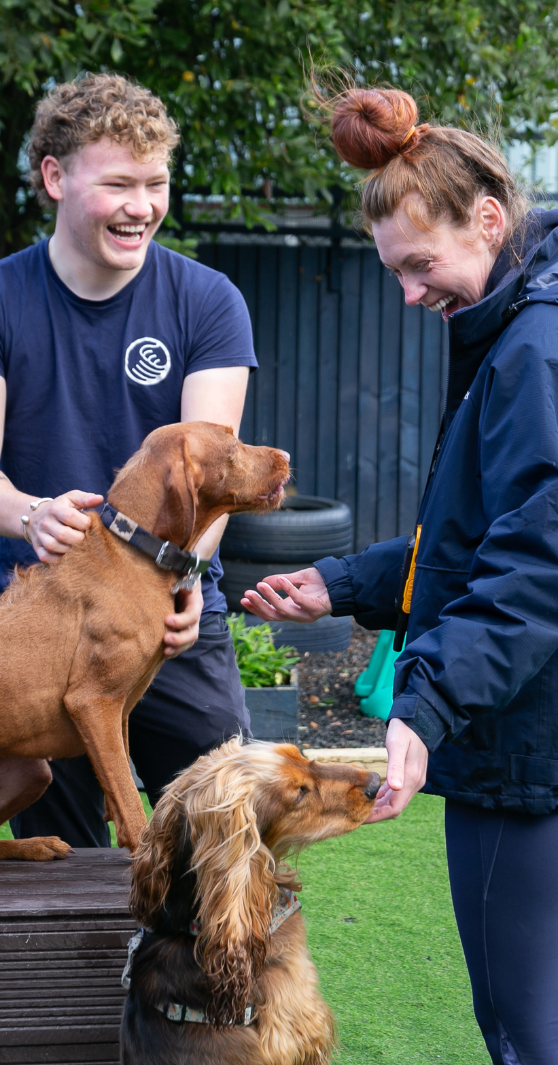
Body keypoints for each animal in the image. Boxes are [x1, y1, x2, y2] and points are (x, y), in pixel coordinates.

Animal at [0, 419, 289, 860]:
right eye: (232, 445)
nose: (287, 456)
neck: (133, 550)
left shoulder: (117, 711)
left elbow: (118, 788)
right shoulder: (92, 702)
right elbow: (127, 794)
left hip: (32, 771)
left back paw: (35, 845)